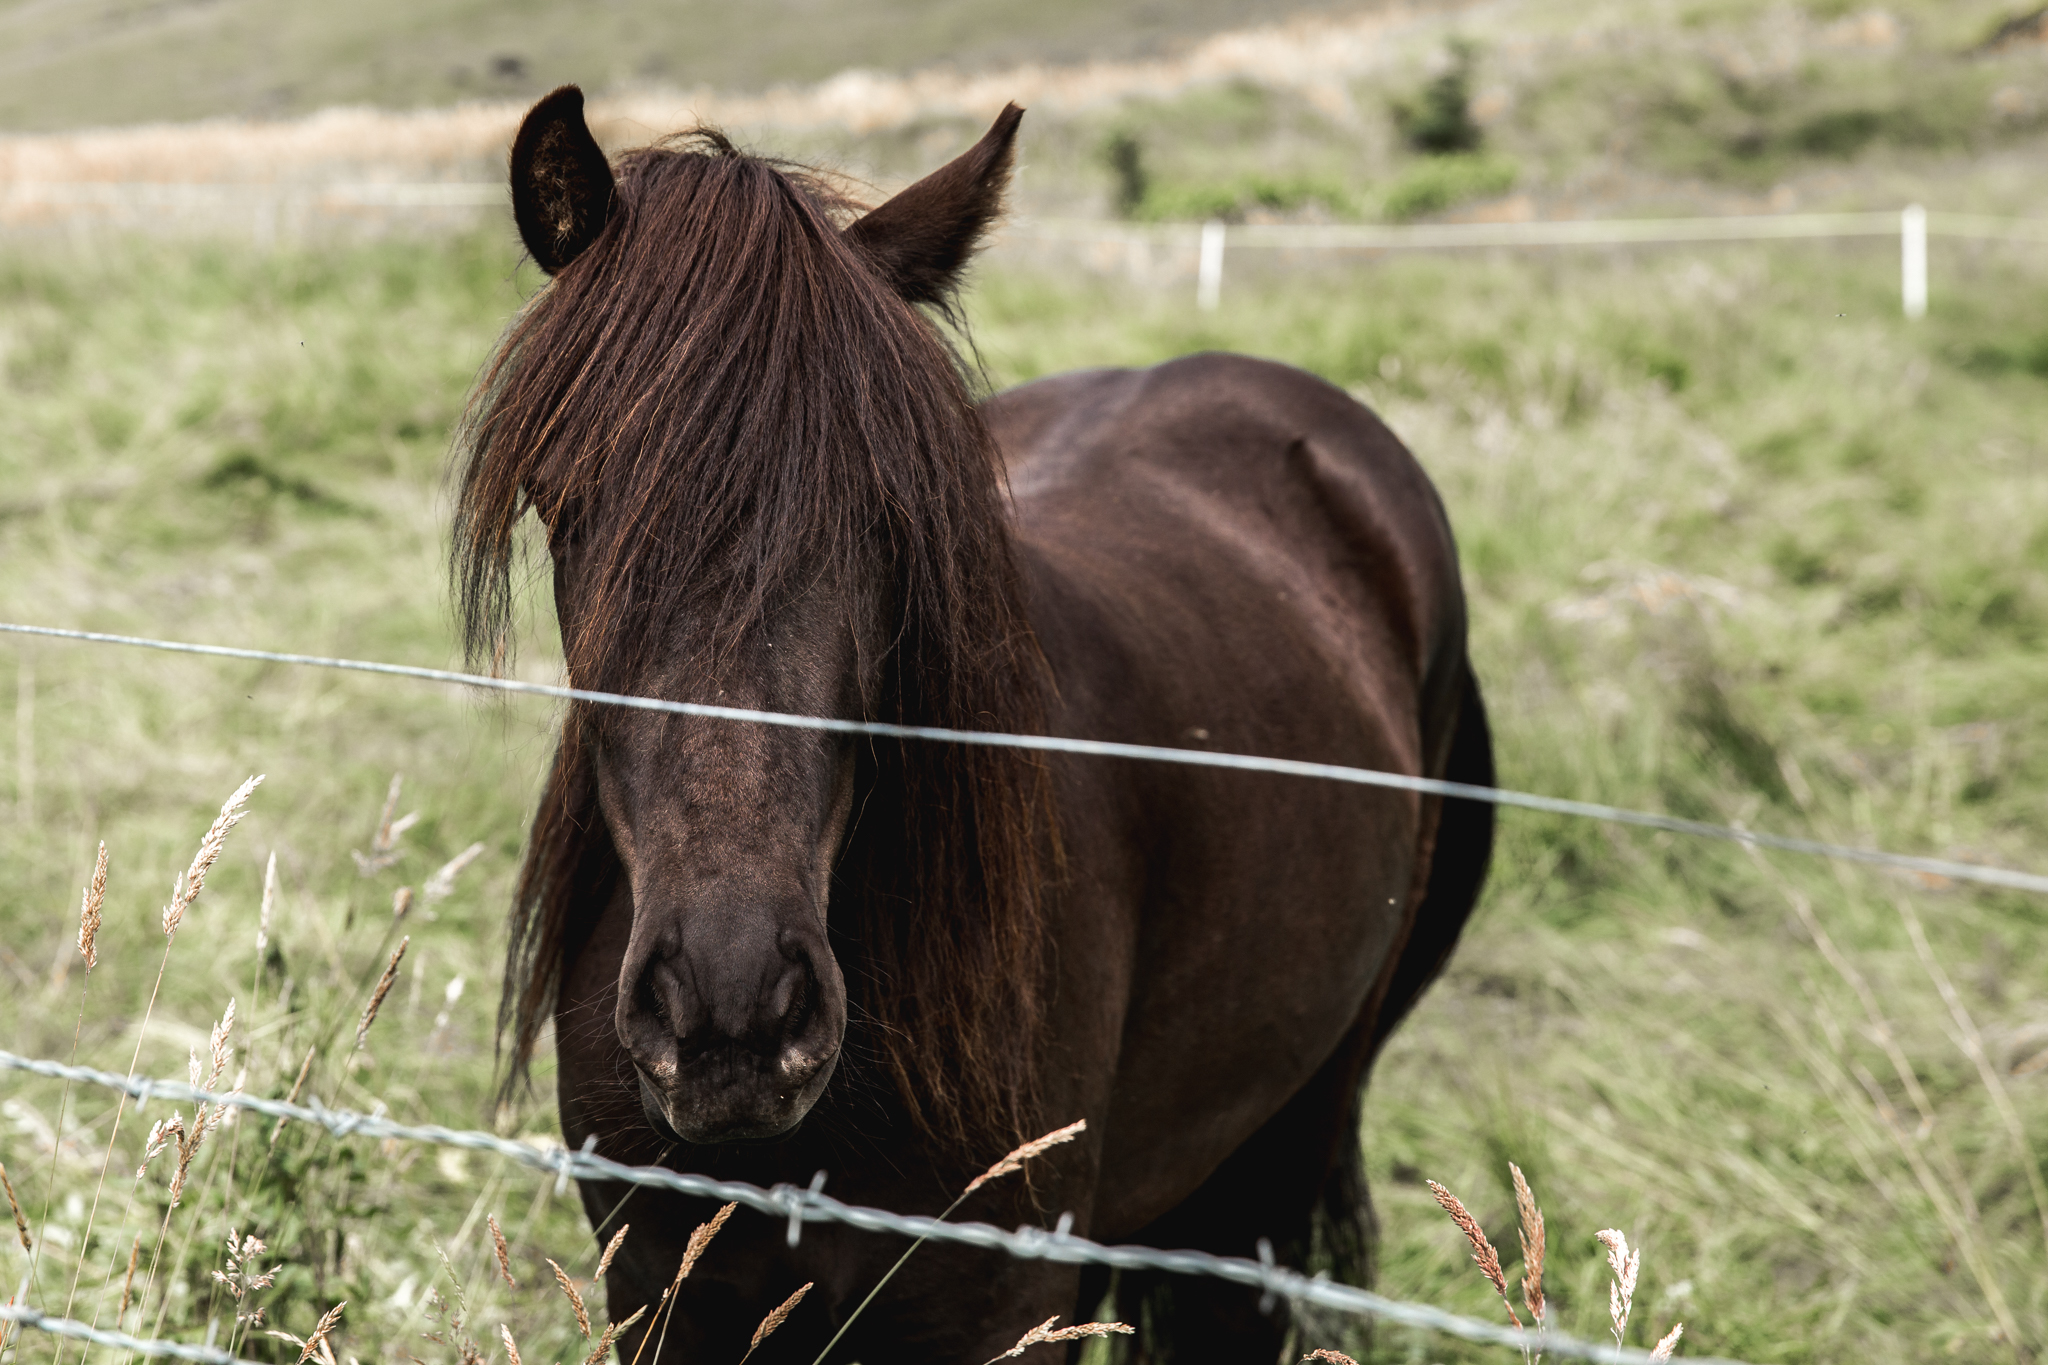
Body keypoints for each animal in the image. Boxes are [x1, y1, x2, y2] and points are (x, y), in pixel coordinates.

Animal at [456, 87, 1499, 1365]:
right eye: (566, 493)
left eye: (888, 513)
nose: (730, 1008)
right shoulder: (661, 1293)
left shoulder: (998, 1303)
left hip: (1280, 1153)